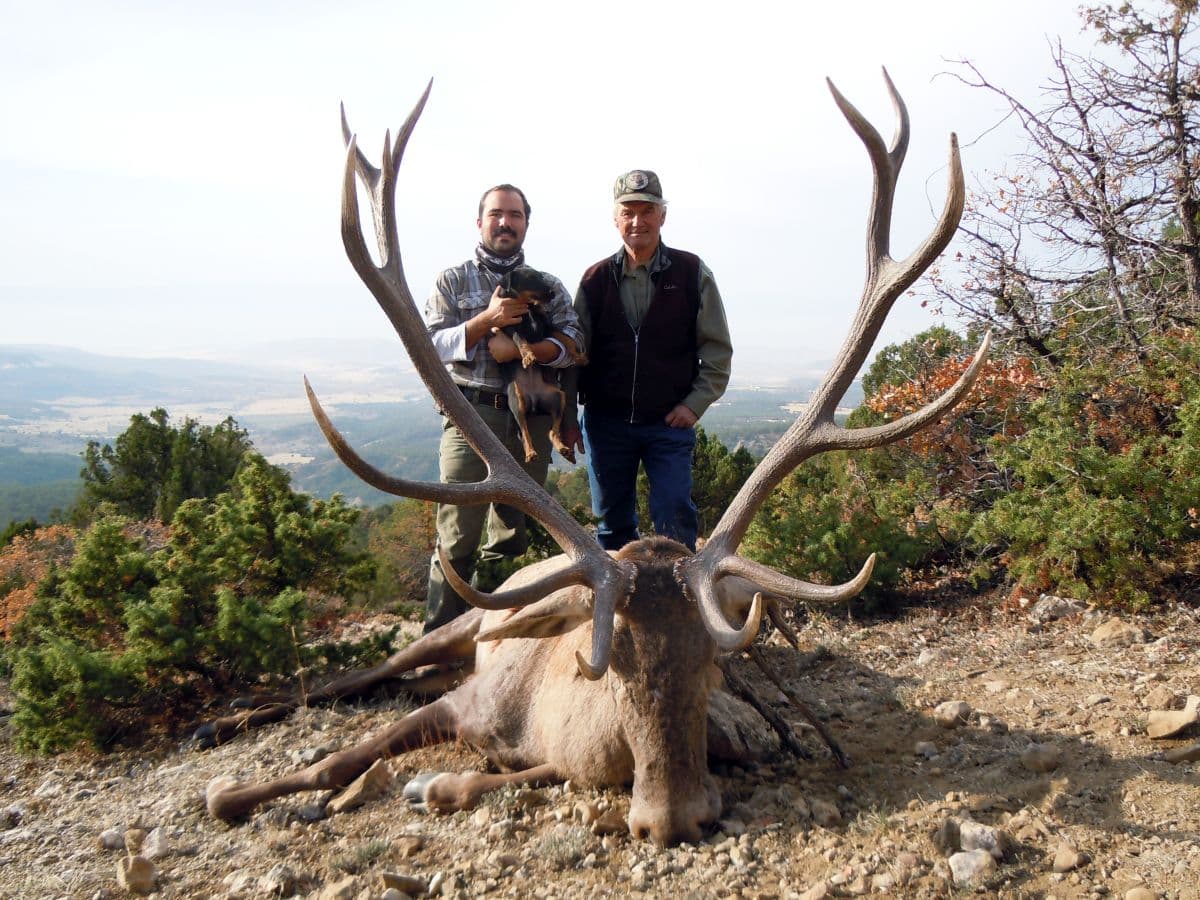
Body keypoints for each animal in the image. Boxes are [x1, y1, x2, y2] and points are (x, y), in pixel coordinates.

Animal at [493, 266, 587, 464]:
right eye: (530, 279)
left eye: (542, 277)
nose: (552, 293)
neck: (528, 307)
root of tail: (534, 403)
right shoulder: (511, 327)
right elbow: (521, 340)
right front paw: (528, 356)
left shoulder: (547, 327)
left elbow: (565, 339)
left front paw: (580, 357)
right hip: (517, 401)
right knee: (524, 432)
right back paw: (530, 452)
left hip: (557, 397)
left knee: (551, 432)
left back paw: (563, 449)